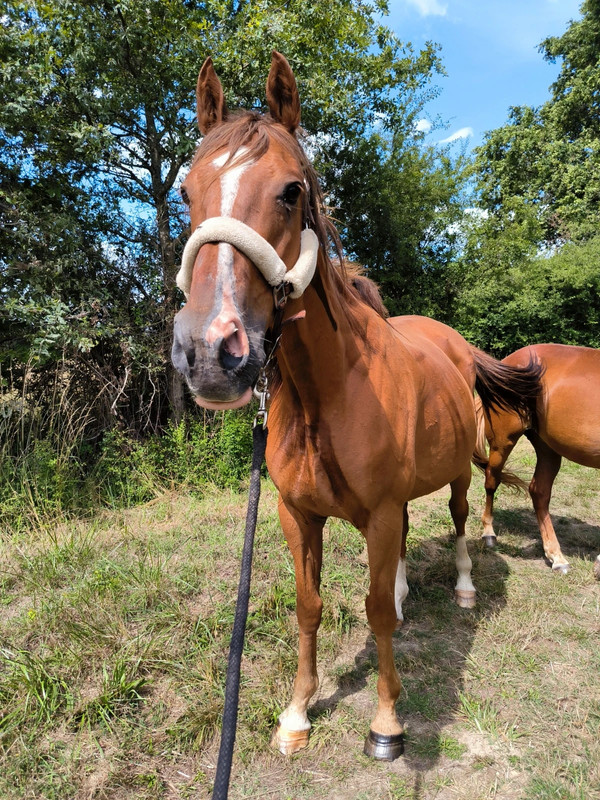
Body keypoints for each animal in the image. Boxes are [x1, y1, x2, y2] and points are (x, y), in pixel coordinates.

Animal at [170, 53, 544, 760]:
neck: (329, 395)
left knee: (458, 521)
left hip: (456, 475)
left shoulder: (378, 510)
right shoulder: (297, 515)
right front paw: (296, 713)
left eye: (291, 191)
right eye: (185, 194)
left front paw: (387, 723)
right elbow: (309, 605)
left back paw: (461, 587)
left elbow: (371, 613)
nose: (210, 351)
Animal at [478, 340, 600, 580]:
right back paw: (489, 533)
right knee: (491, 480)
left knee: (539, 492)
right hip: (503, 441)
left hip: (548, 448)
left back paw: (556, 557)